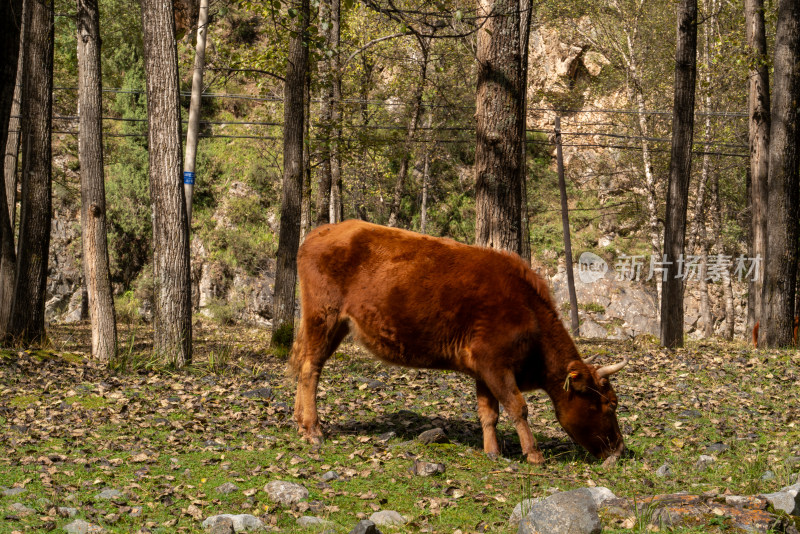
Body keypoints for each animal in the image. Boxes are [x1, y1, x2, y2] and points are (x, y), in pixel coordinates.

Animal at [290, 222, 628, 464]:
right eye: (610, 404)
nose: (620, 449)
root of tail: (323, 230)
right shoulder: (495, 363)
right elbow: (518, 407)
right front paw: (533, 454)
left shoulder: (484, 368)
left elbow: (489, 412)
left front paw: (492, 451)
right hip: (323, 317)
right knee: (310, 369)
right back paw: (314, 430)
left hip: (334, 325)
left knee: (306, 366)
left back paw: (300, 424)